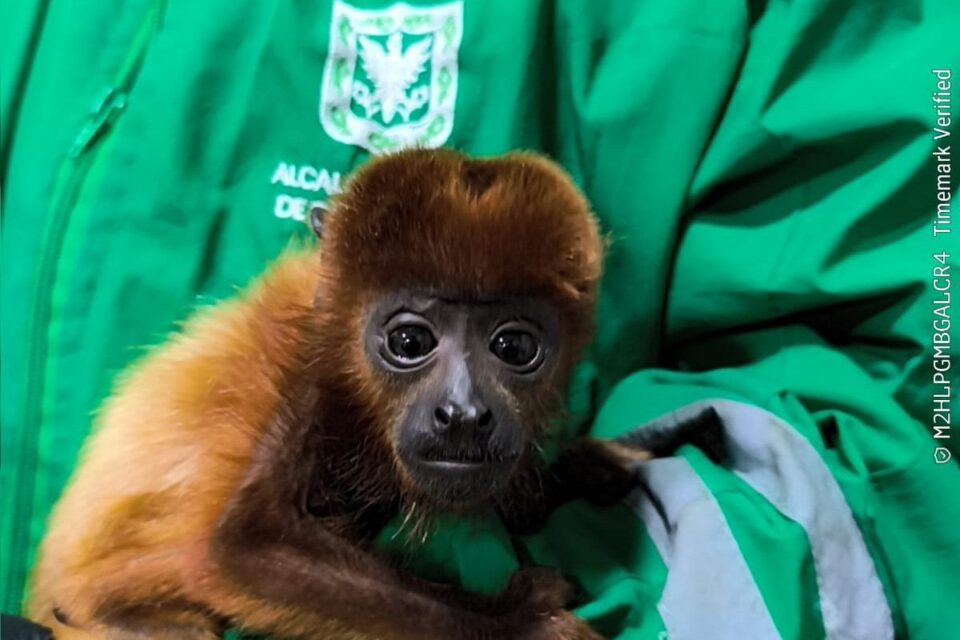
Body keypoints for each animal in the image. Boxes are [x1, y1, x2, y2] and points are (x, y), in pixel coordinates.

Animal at [27, 148, 650, 640]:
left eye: (514, 347)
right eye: (408, 341)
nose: (463, 414)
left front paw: (575, 469)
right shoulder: (298, 367)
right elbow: (245, 548)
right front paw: (514, 623)